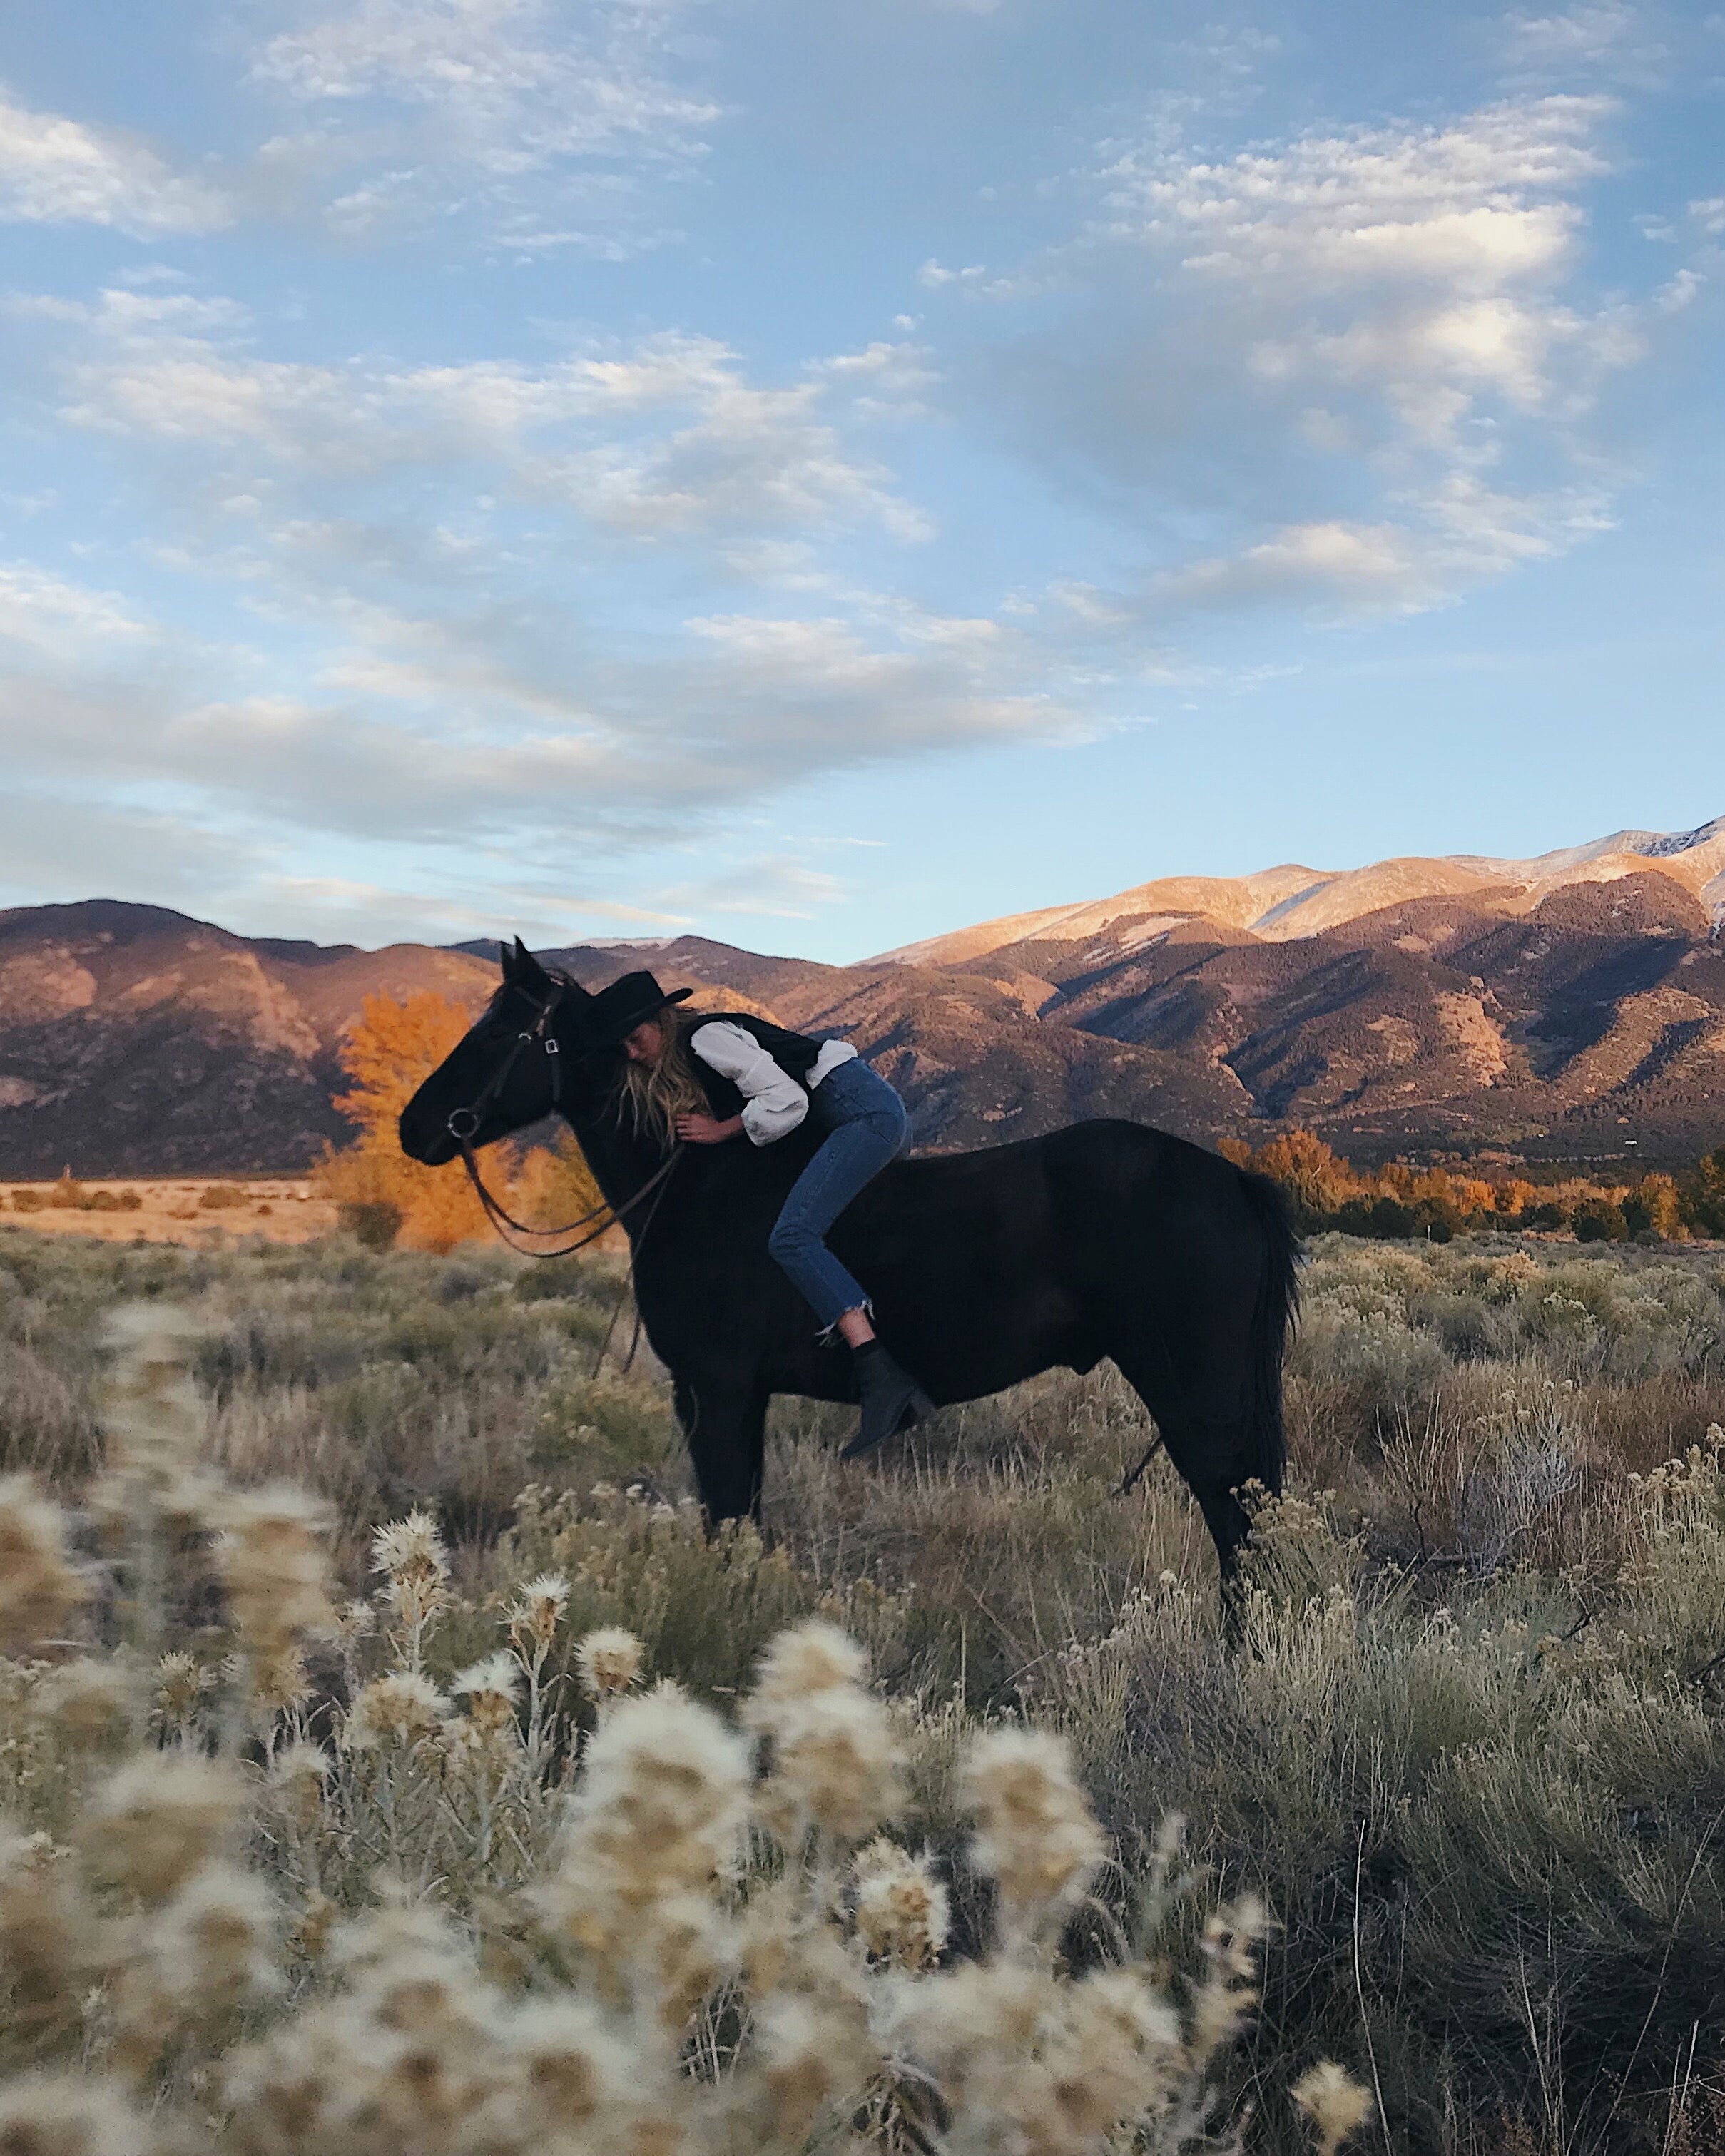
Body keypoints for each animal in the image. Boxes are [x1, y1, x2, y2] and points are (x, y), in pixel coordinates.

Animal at [401, 952, 1293, 1578]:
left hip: (1193, 1391)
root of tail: (1234, 1178)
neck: (695, 1183)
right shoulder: (733, 1398)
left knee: (1238, 1524)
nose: (416, 1126)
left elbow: (726, 1521)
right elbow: (740, 1519)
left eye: (500, 1033)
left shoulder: (716, 1391)